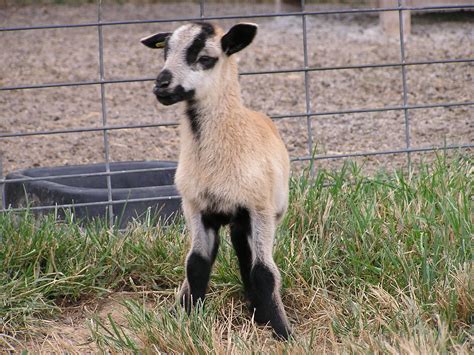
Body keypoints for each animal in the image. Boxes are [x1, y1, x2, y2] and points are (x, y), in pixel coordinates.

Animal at [139, 21, 290, 340]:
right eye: (164, 53)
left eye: (206, 58)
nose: (161, 84)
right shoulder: (196, 207)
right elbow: (196, 264)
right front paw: (186, 320)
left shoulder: (259, 208)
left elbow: (264, 272)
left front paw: (282, 332)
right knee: (241, 251)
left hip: (265, 212)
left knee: (249, 257)